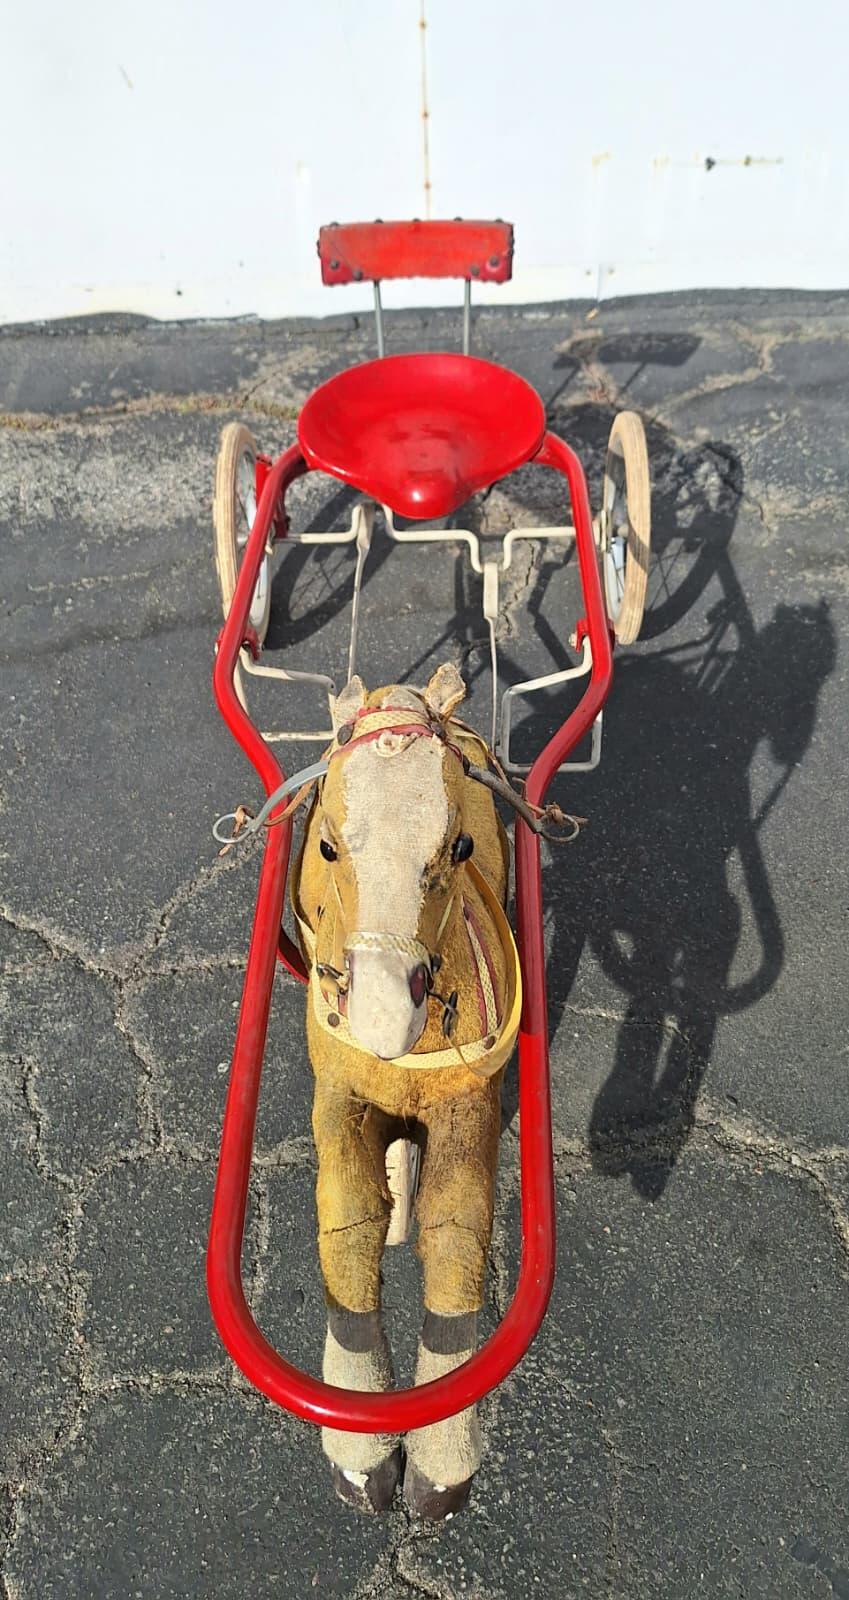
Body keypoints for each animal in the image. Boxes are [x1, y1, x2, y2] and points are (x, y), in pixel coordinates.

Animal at [290, 661, 523, 1519]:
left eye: (458, 845)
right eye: (327, 843)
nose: (384, 1010)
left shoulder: (470, 1104)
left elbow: (456, 1229)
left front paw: (440, 1457)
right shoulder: (338, 1094)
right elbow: (348, 1218)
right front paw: (359, 1448)